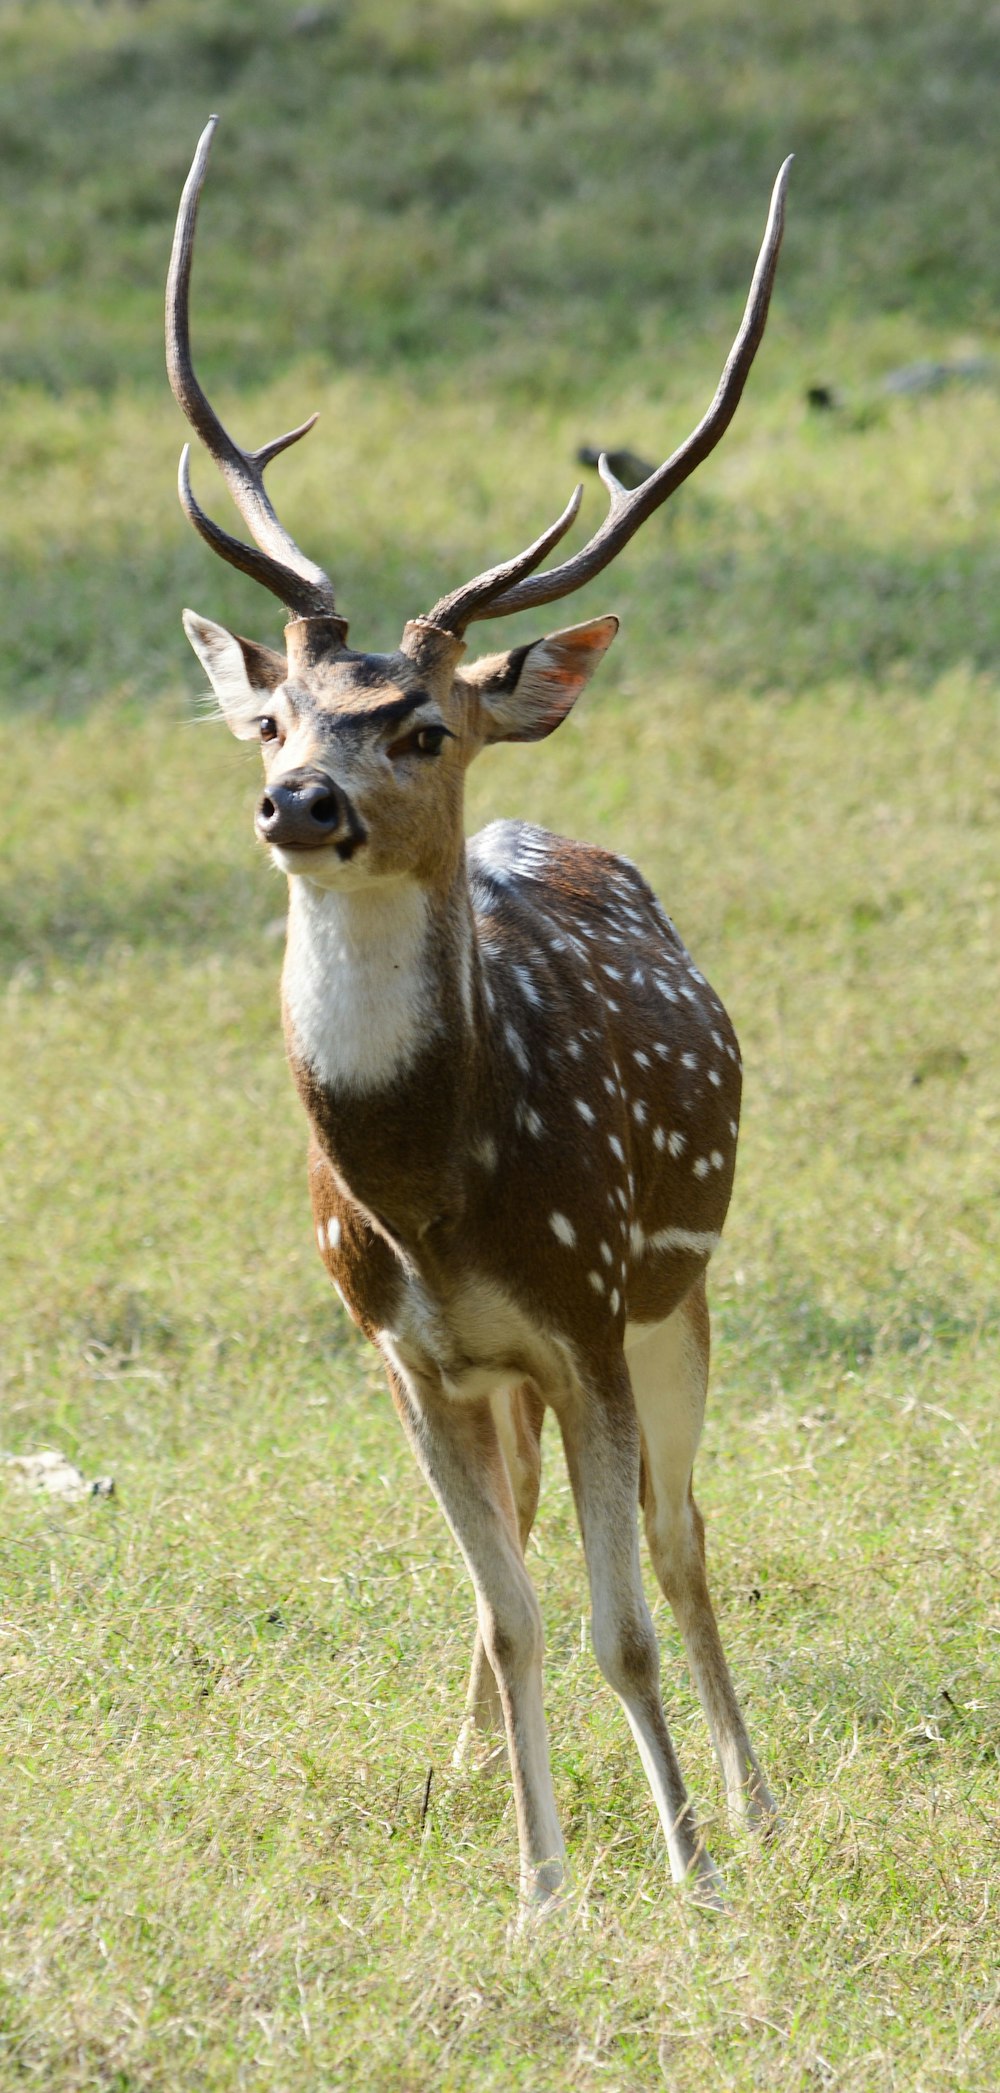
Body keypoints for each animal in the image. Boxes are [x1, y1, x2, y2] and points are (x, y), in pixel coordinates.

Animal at [166, 118, 790, 1917]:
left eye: (422, 725)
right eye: (276, 718)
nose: (299, 801)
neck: (430, 1196)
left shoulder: (583, 1311)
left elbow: (621, 1615)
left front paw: (690, 1869)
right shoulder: (400, 1346)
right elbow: (513, 1611)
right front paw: (538, 1882)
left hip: (678, 1289)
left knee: (685, 1536)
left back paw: (758, 1799)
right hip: (515, 1365)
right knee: (515, 1557)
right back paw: (467, 1773)